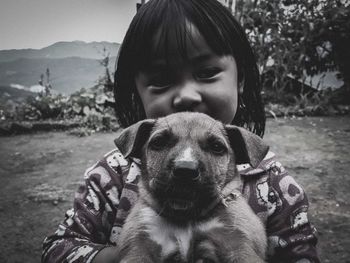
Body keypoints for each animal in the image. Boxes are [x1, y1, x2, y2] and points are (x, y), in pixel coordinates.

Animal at [115, 112, 268, 262]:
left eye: (217, 147)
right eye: (158, 142)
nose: (185, 170)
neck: (186, 216)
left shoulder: (238, 244)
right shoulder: (139, 244)